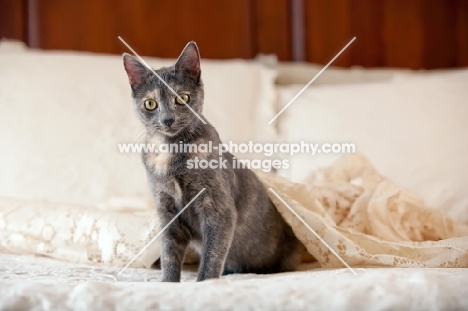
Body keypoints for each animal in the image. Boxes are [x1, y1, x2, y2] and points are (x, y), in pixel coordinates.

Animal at [121, 42, 304, 282]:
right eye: (150, 103)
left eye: (182, 98)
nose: (167, 119)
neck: (172, 152)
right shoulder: (167, 210)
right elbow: (169, 254)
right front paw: (168, 283)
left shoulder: (218, 209)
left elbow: (213, 254)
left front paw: (204, 283)